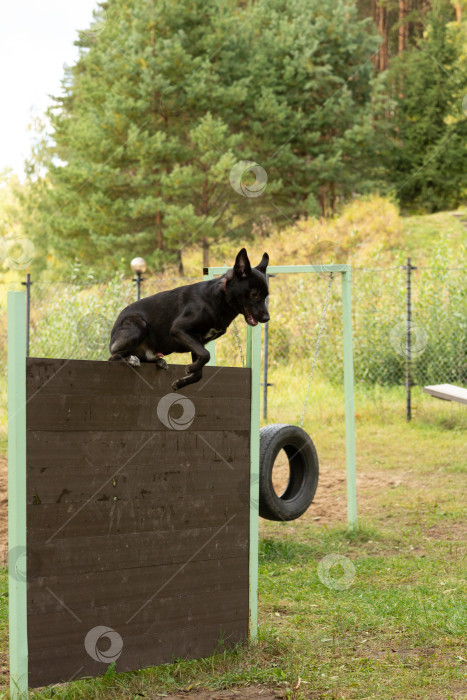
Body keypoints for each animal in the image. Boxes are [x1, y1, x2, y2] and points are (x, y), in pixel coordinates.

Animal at [109, 247, 270, 392]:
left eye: (266, 295)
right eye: (255, 294)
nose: (267, 318)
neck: (220, 299)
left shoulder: (198, 342)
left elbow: (199, 373)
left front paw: (181, 382)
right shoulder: (179, 330)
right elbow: (206, 355)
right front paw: (190, 368)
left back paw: (159, 361)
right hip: (139, 324)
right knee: (113, 357)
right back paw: (131, 359)